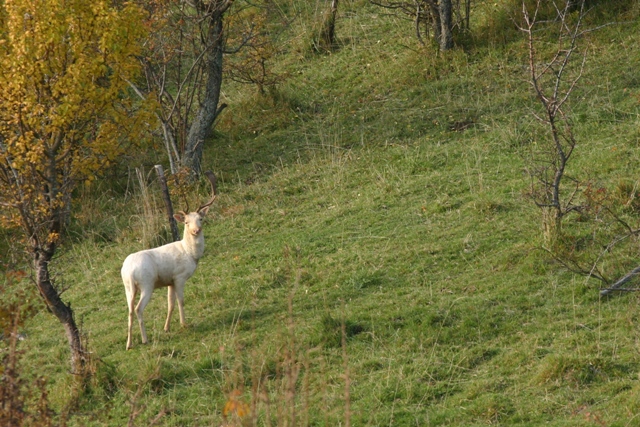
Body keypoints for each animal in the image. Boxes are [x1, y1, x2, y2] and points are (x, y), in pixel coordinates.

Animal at [122, 172, 218, 350]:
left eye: (200, 219)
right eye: (186, 222)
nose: (196, 230)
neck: (190, 254)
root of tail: (129, 271)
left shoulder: (170, 280)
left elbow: (170, 303)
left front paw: (166, 328)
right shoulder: (179, 276)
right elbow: (181, 301)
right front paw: (184, 324)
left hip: (128, 288)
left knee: (130, 310)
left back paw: (129, 344)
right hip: (147, 283)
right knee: (138, 309)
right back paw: (145, 339)